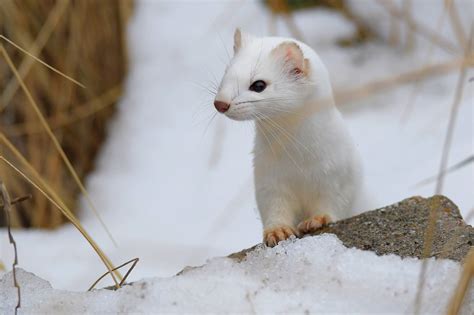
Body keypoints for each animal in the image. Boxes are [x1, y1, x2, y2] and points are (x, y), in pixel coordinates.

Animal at [214, 29, 366, 247]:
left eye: (258, 85)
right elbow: (274, 207)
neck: (297, 162)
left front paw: (317, 219)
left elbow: (335, 202)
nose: (220, 103)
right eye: (226, 73)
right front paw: (278, 231)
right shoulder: (268, 180)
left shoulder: (340, 174)